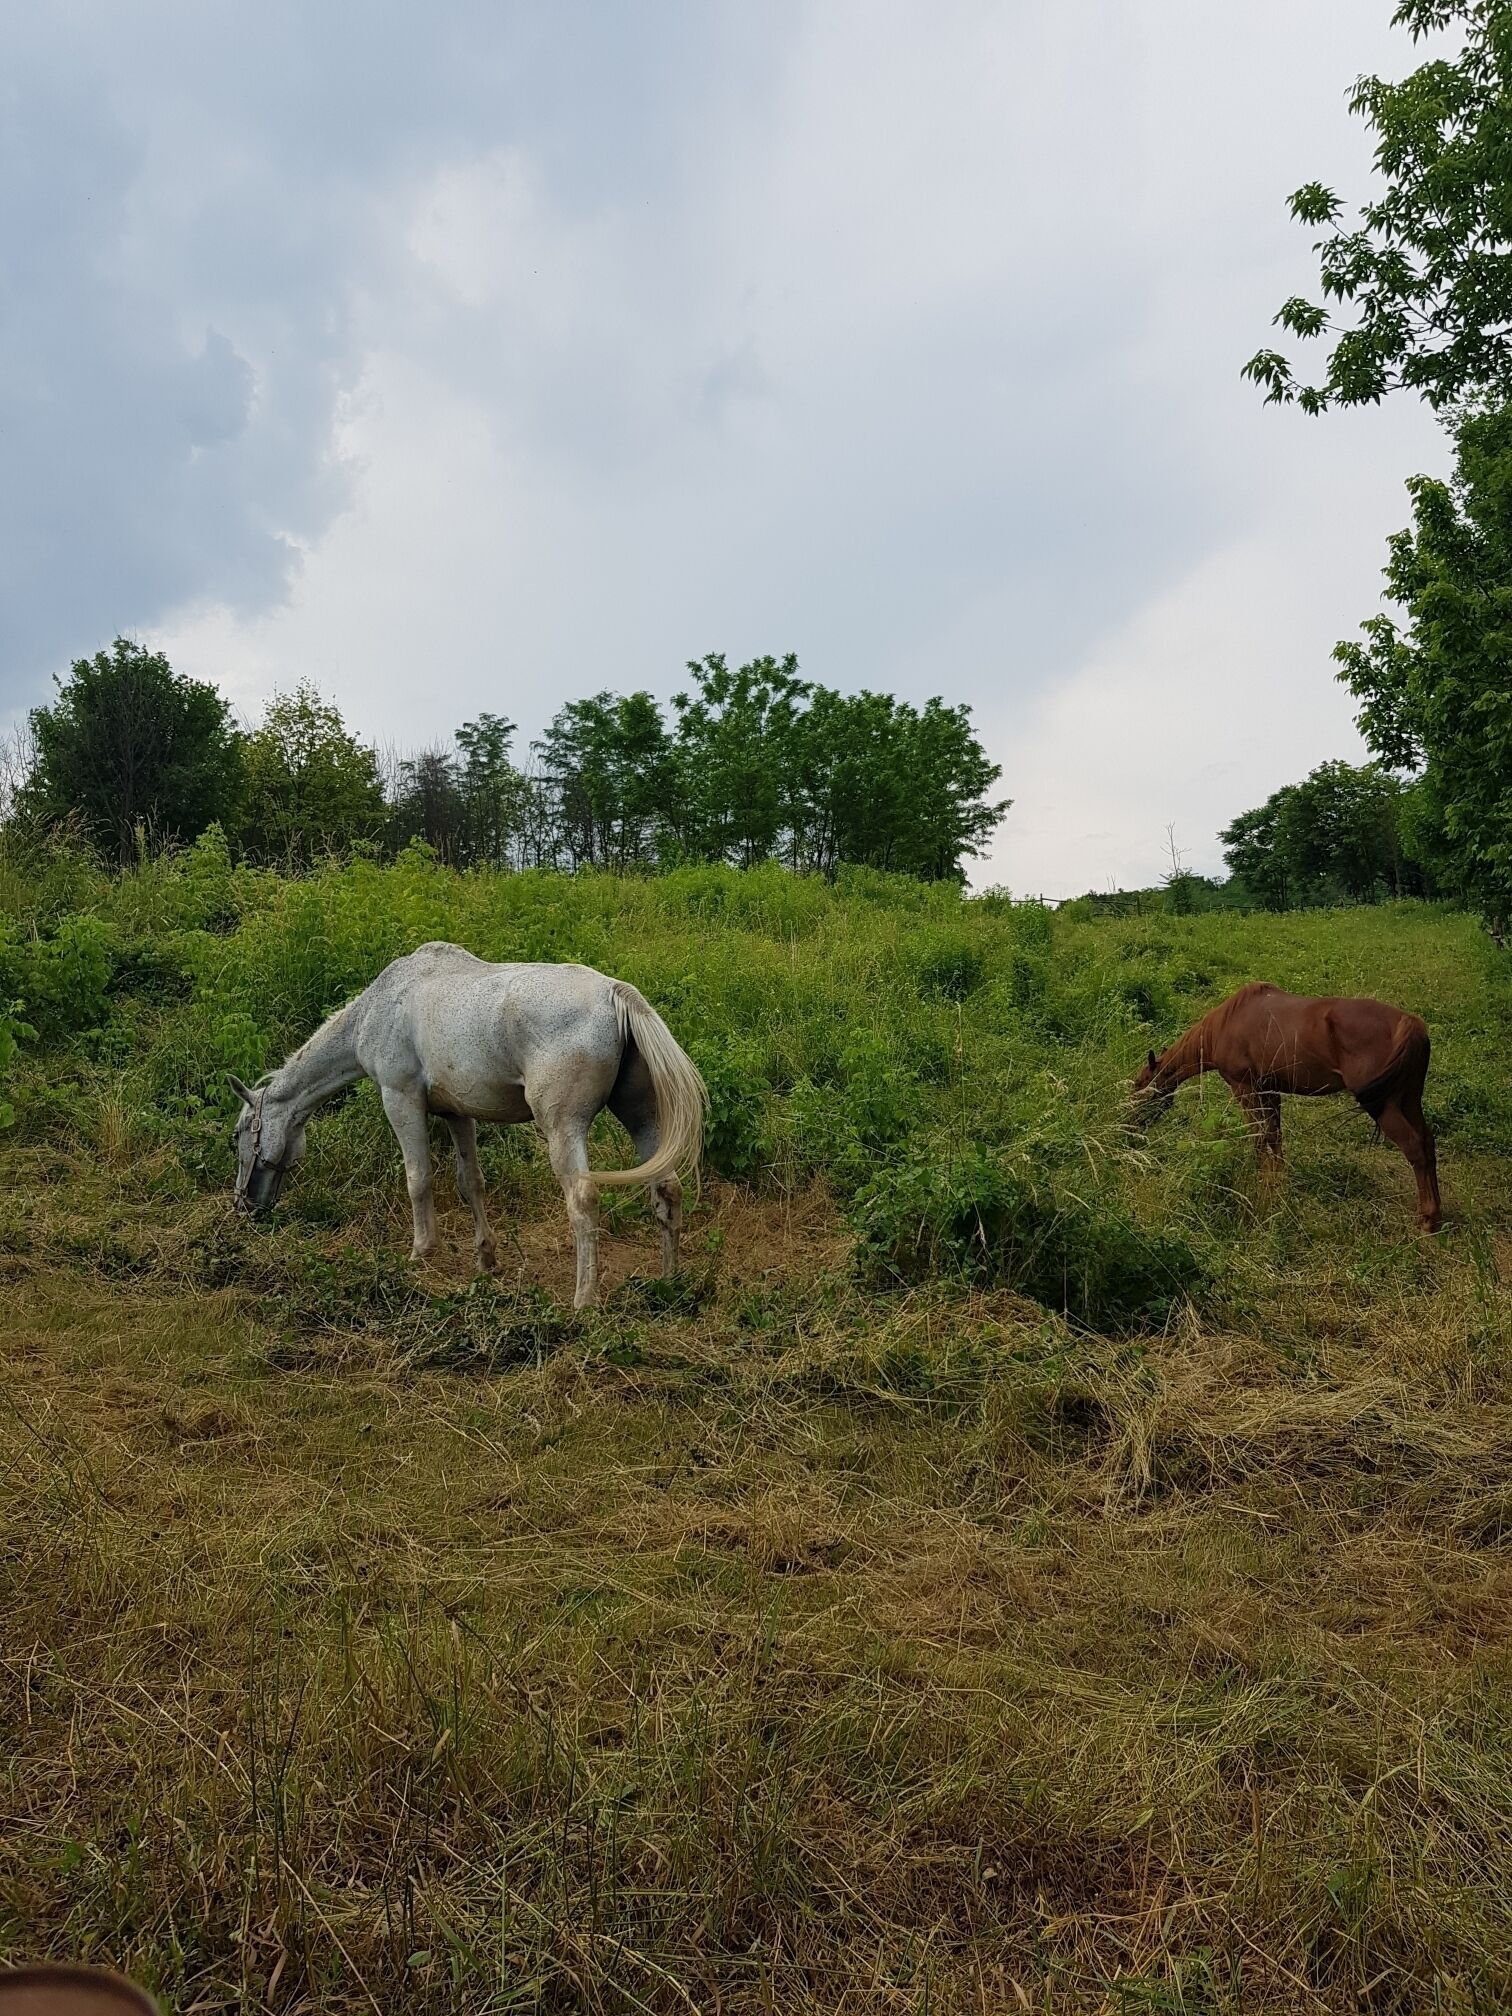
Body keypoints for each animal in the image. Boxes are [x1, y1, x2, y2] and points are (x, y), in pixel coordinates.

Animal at [229, 942, 708, 1307]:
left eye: (238, 1137)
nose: (245, 1205)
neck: (379, 1007)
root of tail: (614, 993)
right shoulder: (457, 1113)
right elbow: (470, 1182)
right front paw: (485, 1259)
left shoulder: (400, 1099)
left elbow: (418, 1178)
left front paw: (422, 1251)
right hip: (643, 1121)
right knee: (667, 1190)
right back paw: (669, 1282)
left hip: (563, 1128)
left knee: (583, 1200)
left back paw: (583, 1300)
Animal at [1133, 981, 1441, 1230]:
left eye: (1140, 1087)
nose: (1131, 1127)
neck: (1224, 1025)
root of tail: (1410, 1024)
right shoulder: (1270, 1090)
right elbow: (1274, 1134)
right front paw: (1278, 1181)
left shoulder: (1244, 1088)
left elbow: (1258, 1136)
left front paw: (1262, 1183)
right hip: (1408, 1099)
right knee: (1427, 1142)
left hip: (1386, 1106)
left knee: (1414, 1147)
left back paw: (1427, 1221)